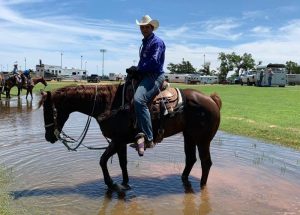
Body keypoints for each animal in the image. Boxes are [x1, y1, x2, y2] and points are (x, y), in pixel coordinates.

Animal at [39, 83, 220, 191]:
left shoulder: (118, 140)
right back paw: (184, 180)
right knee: (191, 159)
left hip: (203, 140)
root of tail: (211, 99)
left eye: (48, 111)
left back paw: (202, 187)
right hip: (189, 137)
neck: (109, 104)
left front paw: (111, 184)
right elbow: (121, 162)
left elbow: (103, 160)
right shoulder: (119, 142)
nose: (49, 137)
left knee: (206, 162)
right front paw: (125, 183)